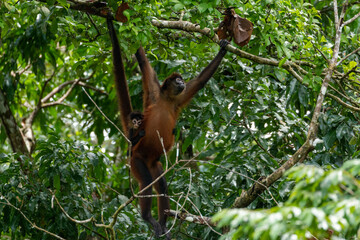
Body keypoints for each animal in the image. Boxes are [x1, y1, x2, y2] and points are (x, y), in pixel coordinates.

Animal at [106, 17, 228, 238]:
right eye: (177, 79)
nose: (181, 81)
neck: (167, 99)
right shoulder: (155, 90)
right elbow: (142, 60)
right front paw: (113, 22)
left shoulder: (178, 100)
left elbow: (199, 82)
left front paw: (223, 49)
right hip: (136, 160)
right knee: (146, 181)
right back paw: (148, 218)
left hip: (154, 163)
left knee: (161, 184)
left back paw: (163, 223)